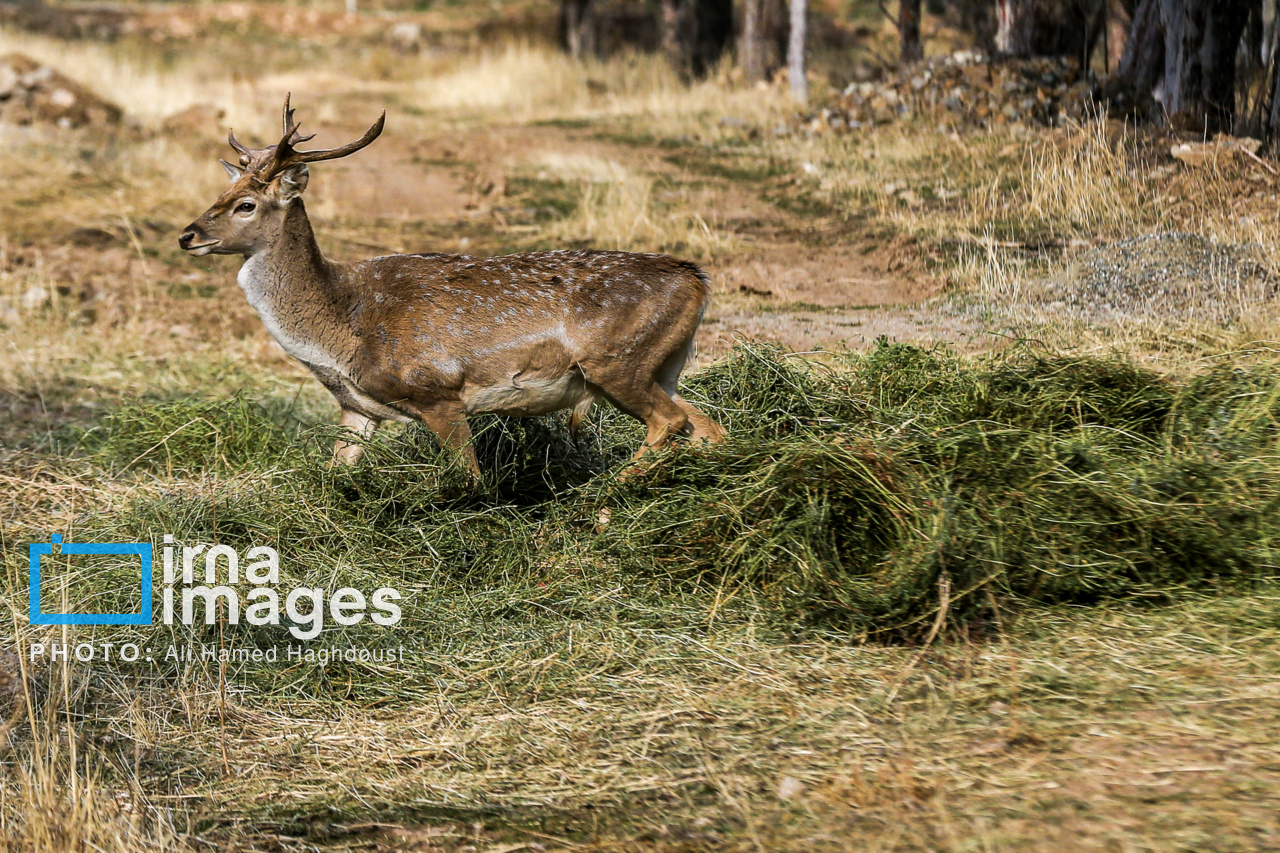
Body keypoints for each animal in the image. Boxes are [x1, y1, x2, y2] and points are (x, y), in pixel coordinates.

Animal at [177, 99, 732, 479]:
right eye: (220, 191)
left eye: (246, 204)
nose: (188, 235)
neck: (343, 330)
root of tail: (697, 279)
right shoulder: (358, 408)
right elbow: (335, 476)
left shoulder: (437, 390)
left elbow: (469, 477)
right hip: (663, 365)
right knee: (707, 426)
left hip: (616, 361)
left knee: (670, 422)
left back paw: (606, 498)